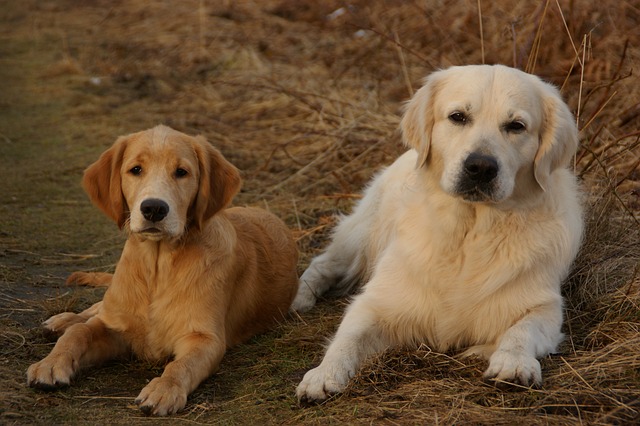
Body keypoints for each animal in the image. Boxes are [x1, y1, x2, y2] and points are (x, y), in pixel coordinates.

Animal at [27, 124, 300, 416]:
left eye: (182, 172)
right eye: (136, 169)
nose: (154, 208)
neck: (157, 268)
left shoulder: (205, 338)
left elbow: (180, 365)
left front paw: (164, 389)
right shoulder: (114, 327)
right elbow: (79, 333)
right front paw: (51, 363)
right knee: (93, 310)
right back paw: (62, 320)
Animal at [296, 65, 584, 402]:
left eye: (516, 126)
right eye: (458, 116)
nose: (481, 167)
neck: (468, 233)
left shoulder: (543, 305)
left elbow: (521, 330)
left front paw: (512, 363)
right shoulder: (379, 302)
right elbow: (347, 338)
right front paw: (323, 374)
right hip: (358, 239)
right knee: (322, 264)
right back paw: (299, 298)